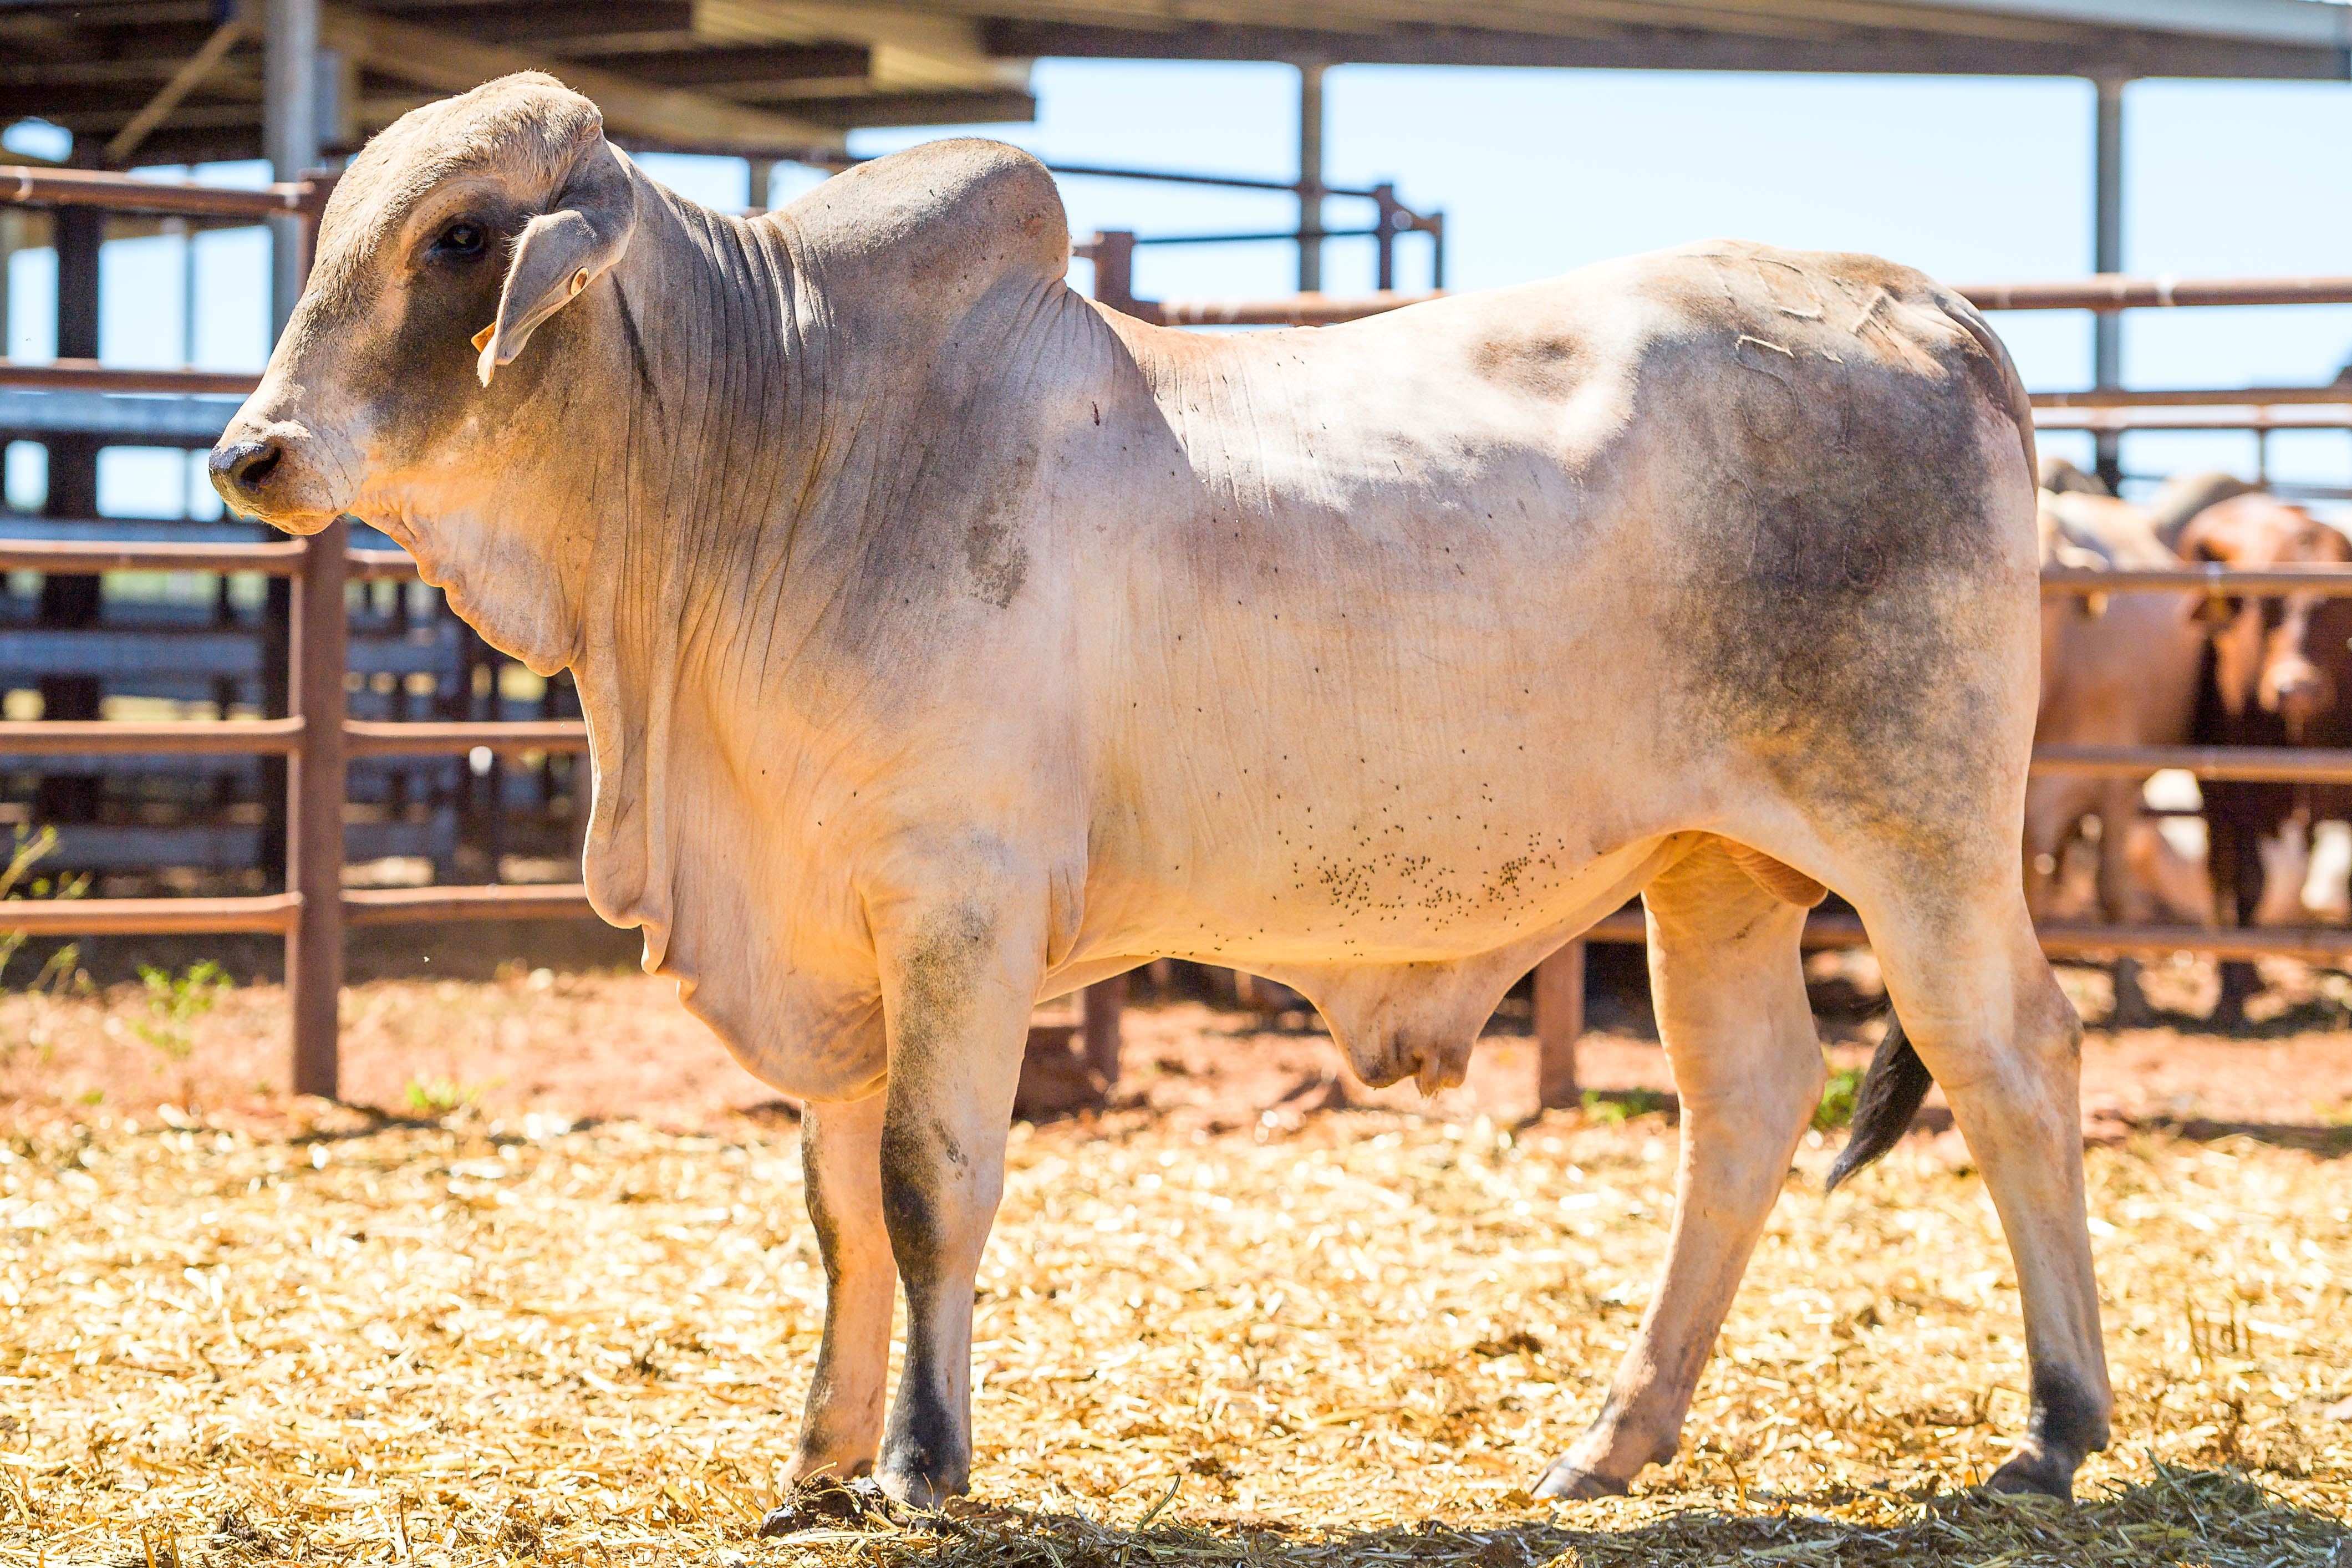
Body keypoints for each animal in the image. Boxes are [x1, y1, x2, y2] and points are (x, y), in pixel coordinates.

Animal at [207, 73, 2116, 1523]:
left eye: (459, 237)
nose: (247, 453)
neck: (773, 443)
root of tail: (1933, 309)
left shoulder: (956, 899)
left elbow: (926, 1179)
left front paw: (921, 1460)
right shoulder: (828, 927)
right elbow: (837, 1211)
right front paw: (816, 1460)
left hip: (1922, 838)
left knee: (2012, 1056)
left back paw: (2056, 1425)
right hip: (1711, 866)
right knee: (1748, 1102)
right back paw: (1610, 1441)